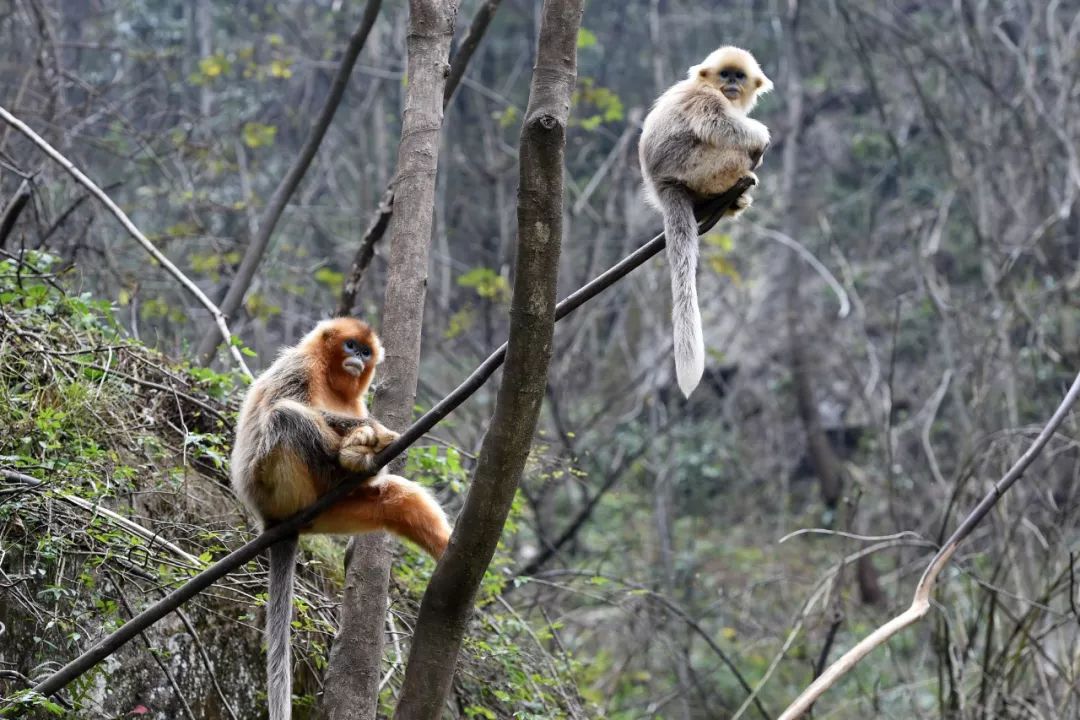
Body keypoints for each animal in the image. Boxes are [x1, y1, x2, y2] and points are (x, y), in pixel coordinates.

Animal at [230, 319, 449, 720]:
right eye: (350, 345)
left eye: (365, 351)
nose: (358, 359)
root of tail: (273, 522)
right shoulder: (298, 367)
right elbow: (288, 402)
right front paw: (371, 429)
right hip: (274, 483)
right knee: (286, 415)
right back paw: (349, 457)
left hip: (336, 511)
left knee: (395, 498)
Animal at [639, 47, 768, 397]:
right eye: (725, 75)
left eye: (739, 76)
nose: (732, 85)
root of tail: (663, 184)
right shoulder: (704, 98)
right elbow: (718, 124)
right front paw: (761, 135)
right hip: (699, 166)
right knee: (731, 147)